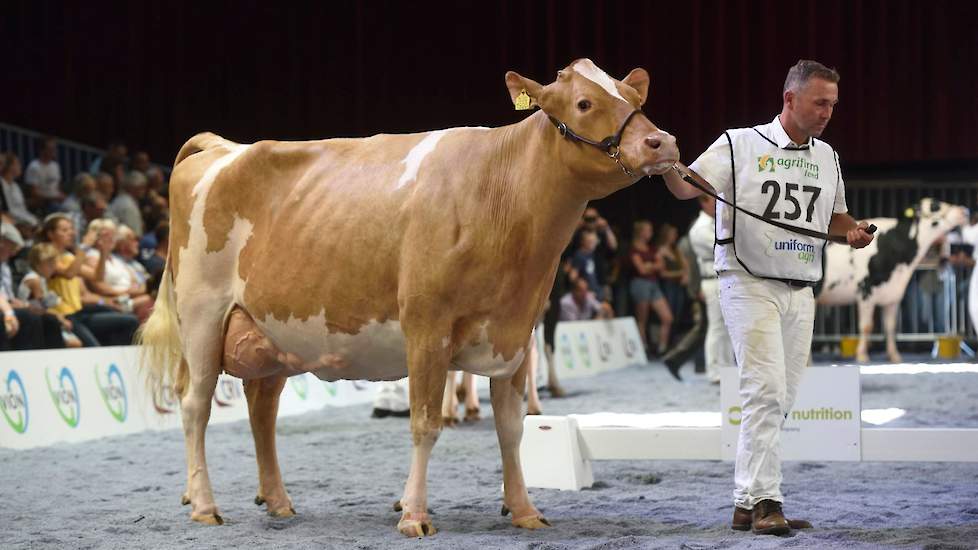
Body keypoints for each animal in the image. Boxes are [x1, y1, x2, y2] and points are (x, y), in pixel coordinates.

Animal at [139, 58, 680, 536]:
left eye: (634, 98)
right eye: (585, 102)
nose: (663, 141)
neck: (502, 192)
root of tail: (223, 146)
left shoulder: (516, 329)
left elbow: (512, 428)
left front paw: (524, 510)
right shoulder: (426, 326)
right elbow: (424, 424)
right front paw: (414, 515)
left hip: (272, 328)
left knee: (261, 407)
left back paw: (277, 501)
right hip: (203, 314)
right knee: (196, 405)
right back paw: (204, 505)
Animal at [816, 198, 968, 362]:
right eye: (935, 206)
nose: (964, 211)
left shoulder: (892, 295)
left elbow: (890, 326)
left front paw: (894, 356)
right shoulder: (866, 290)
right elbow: (866, 326)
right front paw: (862, 355)